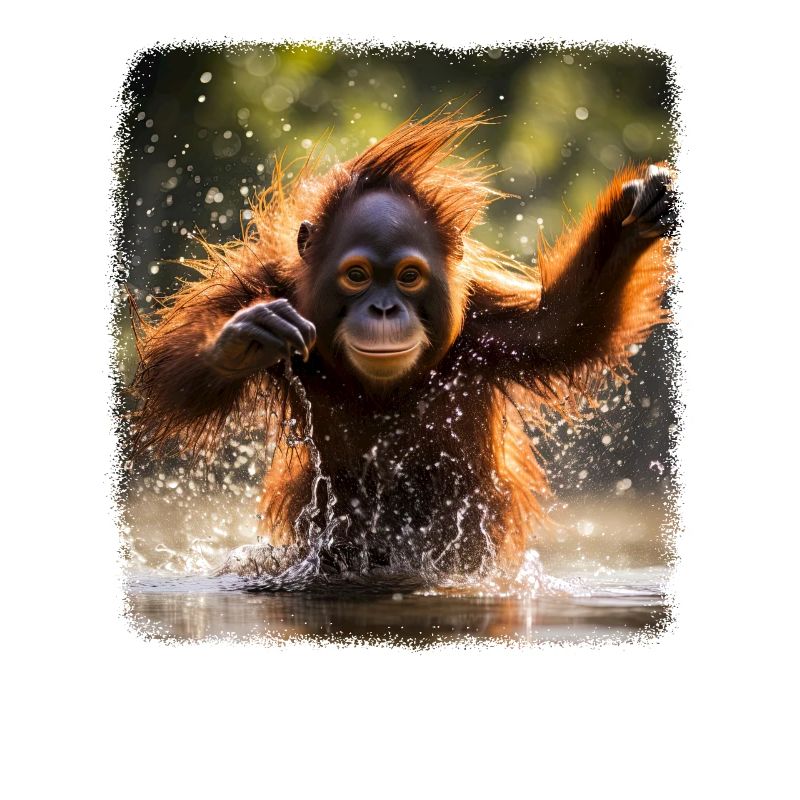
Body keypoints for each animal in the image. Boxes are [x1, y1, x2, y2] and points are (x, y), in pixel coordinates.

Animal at [131, 109, 675, 579]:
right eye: (357, 276)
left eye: (408, 277)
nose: (384, 309)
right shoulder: (262, 285)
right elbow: (170, 387)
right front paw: (242, 338)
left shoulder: (485, 327)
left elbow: (566, 327)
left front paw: (634, 213)